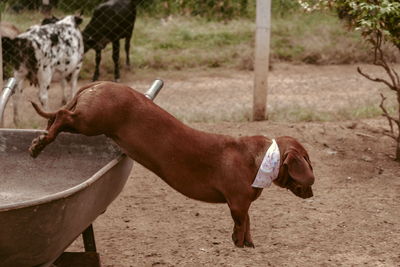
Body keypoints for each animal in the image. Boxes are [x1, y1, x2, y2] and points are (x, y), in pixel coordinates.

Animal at [29, 82, 314, 249]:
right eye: (307, 159)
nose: (313, 191)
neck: (262, 158)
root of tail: (101, 83)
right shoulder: (238, 202)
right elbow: (242, 223)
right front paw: (241, 244)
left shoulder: (242, 205)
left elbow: (248, 223)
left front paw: (248, 243)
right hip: (90, 121)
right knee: (62, 115)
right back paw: (38, 145)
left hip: (86, 122)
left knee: (56, 118)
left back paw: (39, 141)